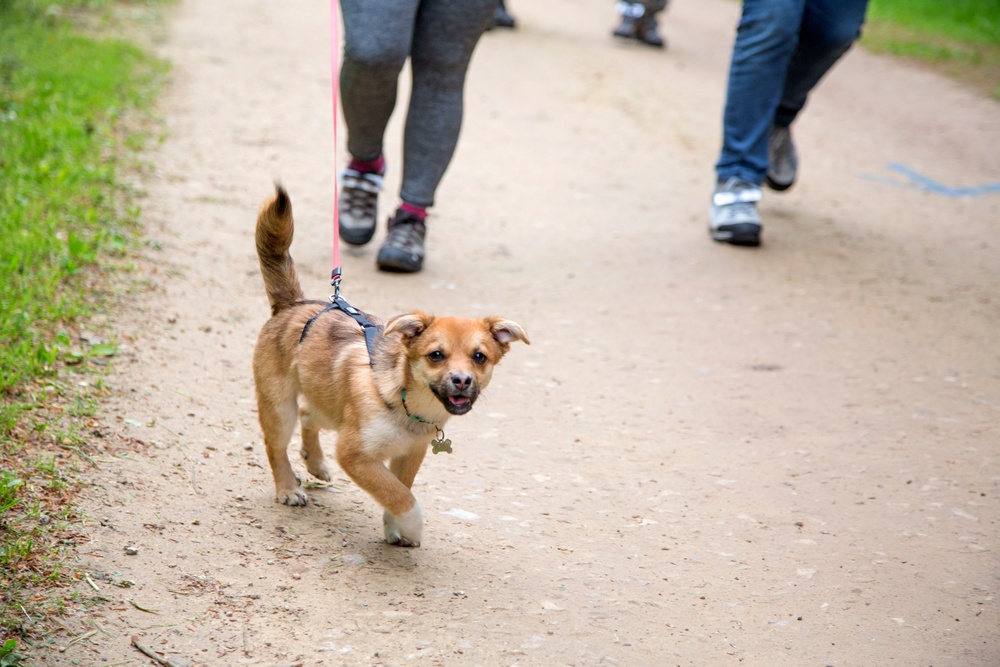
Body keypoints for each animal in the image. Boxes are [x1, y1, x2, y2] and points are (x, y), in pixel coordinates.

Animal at [254, 187, 528, 548]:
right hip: (279, 406)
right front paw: (412, 525)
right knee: (276, 445)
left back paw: (316, 464)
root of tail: (293, 304)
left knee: (308, 415)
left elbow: (399, 489)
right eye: (436, 355)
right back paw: (287, 487)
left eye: (479, 357)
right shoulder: (355, 454)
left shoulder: (409, 454)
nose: (461, 380)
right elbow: (399, 495)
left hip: (331, 407)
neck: (406, 404)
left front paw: (395, 528)